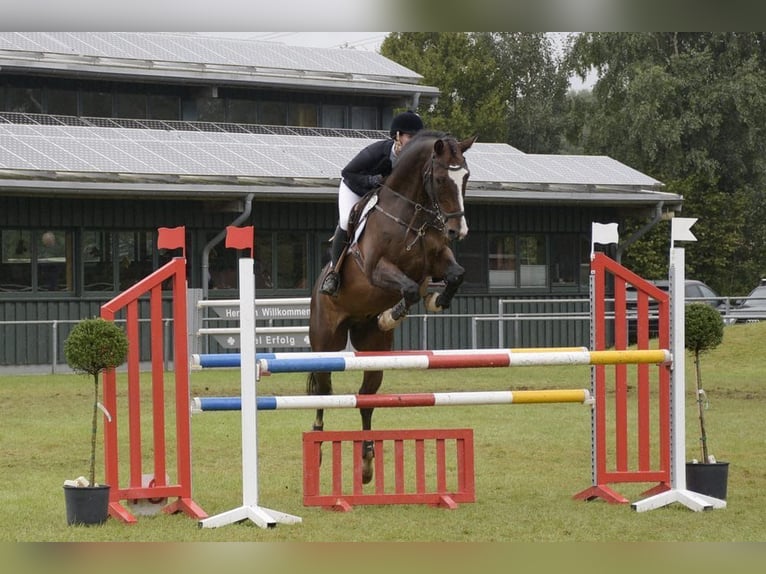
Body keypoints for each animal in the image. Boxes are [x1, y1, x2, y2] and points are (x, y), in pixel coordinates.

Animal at [307, 130, 477, 483]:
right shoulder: (376, 270)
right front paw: (391, 315)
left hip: (372, 349)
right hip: (326, 342)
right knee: (323, 390)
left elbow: (456, 275)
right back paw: (317, 443)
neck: (412, 214)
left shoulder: (438, 258)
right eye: (440, 178)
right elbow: (409, 288)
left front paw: (436, 299)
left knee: (366, 398)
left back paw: (368, 462)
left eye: (466, 176)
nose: (458, 231)